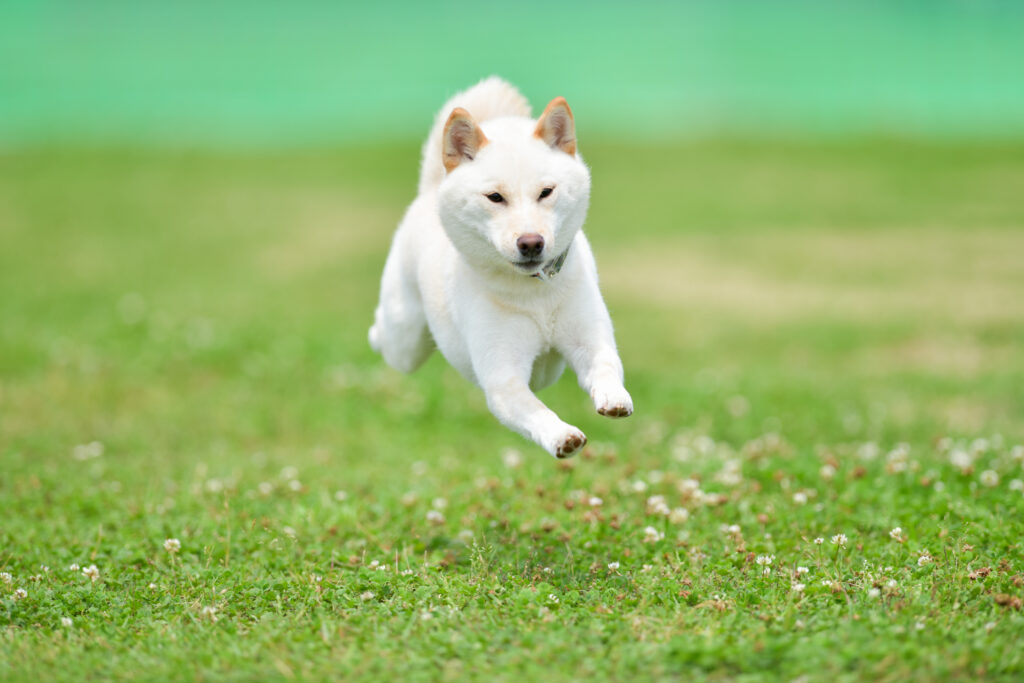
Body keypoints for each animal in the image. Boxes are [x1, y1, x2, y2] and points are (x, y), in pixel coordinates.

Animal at [368, 76, 626, 458]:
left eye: (546, 192)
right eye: (495, 198)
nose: (531, 242)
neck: (535, 296)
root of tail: (430, 190)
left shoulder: (589, 339)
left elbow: (606, 365)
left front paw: (614, 397)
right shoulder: (504, 377)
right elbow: (536, 411)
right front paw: (561, 436)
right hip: (406, 342)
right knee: (385, 335)